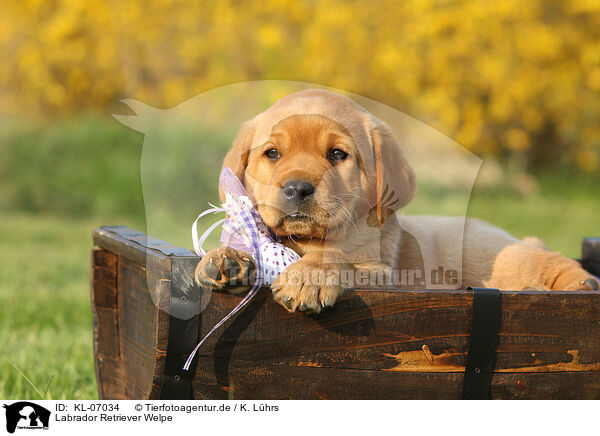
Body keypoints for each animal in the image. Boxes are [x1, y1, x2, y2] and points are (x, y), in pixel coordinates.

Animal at [195, 89, 596, 314]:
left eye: (337, 154)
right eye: (272, 153)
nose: (297, 188)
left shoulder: (383, 272)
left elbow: (337, 259)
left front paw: (308, 277)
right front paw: (225, 258)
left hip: (493, 255)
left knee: (560, 265)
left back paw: (569, 287)